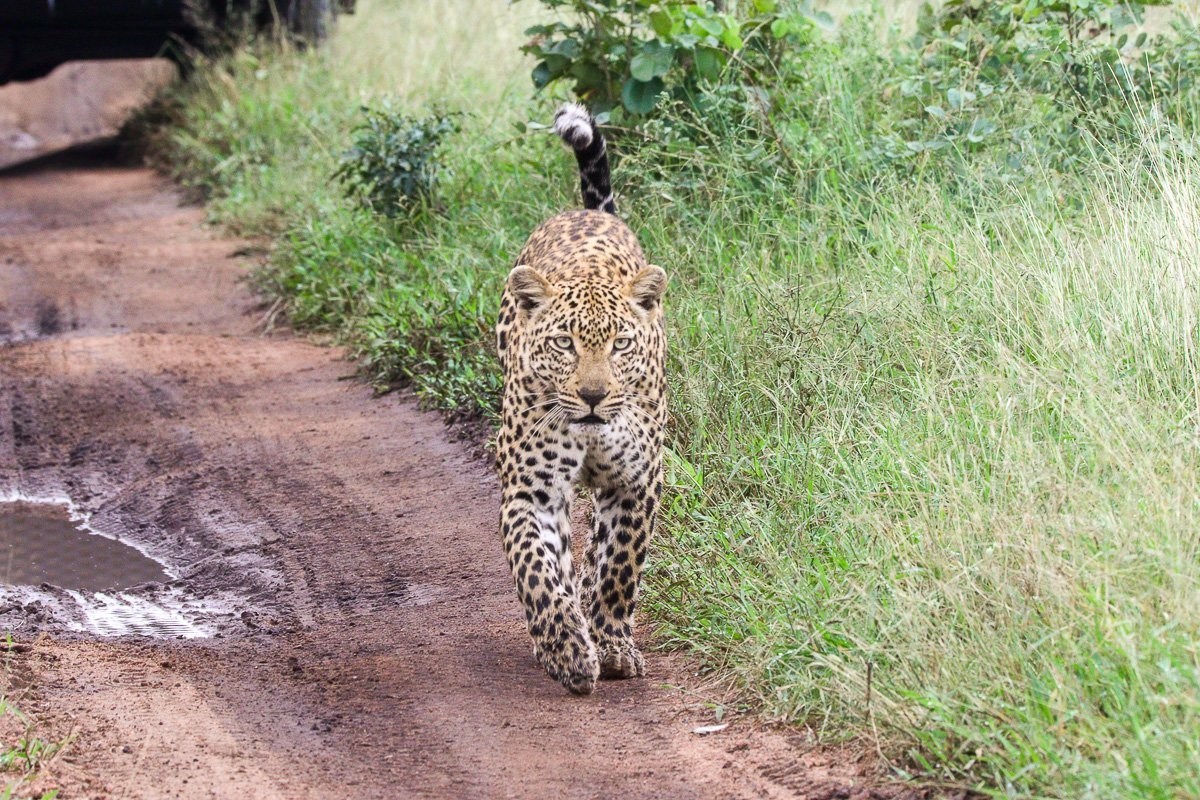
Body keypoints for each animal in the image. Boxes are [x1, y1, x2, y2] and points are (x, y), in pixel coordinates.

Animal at [495, 103, 667, 695]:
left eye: (620, 344)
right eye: (564, 343)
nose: (593, 397)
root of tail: (587, 214)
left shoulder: (636, 483)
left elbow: (619, 569)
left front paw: (612, 645)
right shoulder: (533, 492)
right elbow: (537, 573)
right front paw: (567, 649)